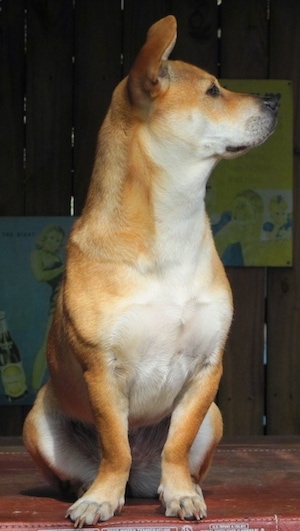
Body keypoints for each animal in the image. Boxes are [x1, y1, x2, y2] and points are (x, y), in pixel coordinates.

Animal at [22, 14, 278, 528]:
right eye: (213, 91)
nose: (275, 100)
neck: (173, 225)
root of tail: (140, 481)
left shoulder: (205, 372)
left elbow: (176, 447)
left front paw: (180, 493)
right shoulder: (104, 372)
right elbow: (114, 447)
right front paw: (100, 498)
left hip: (214, 417)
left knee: (168, 460)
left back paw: (178, 486)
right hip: (36, 422)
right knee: (103, 464)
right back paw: (92, 488)